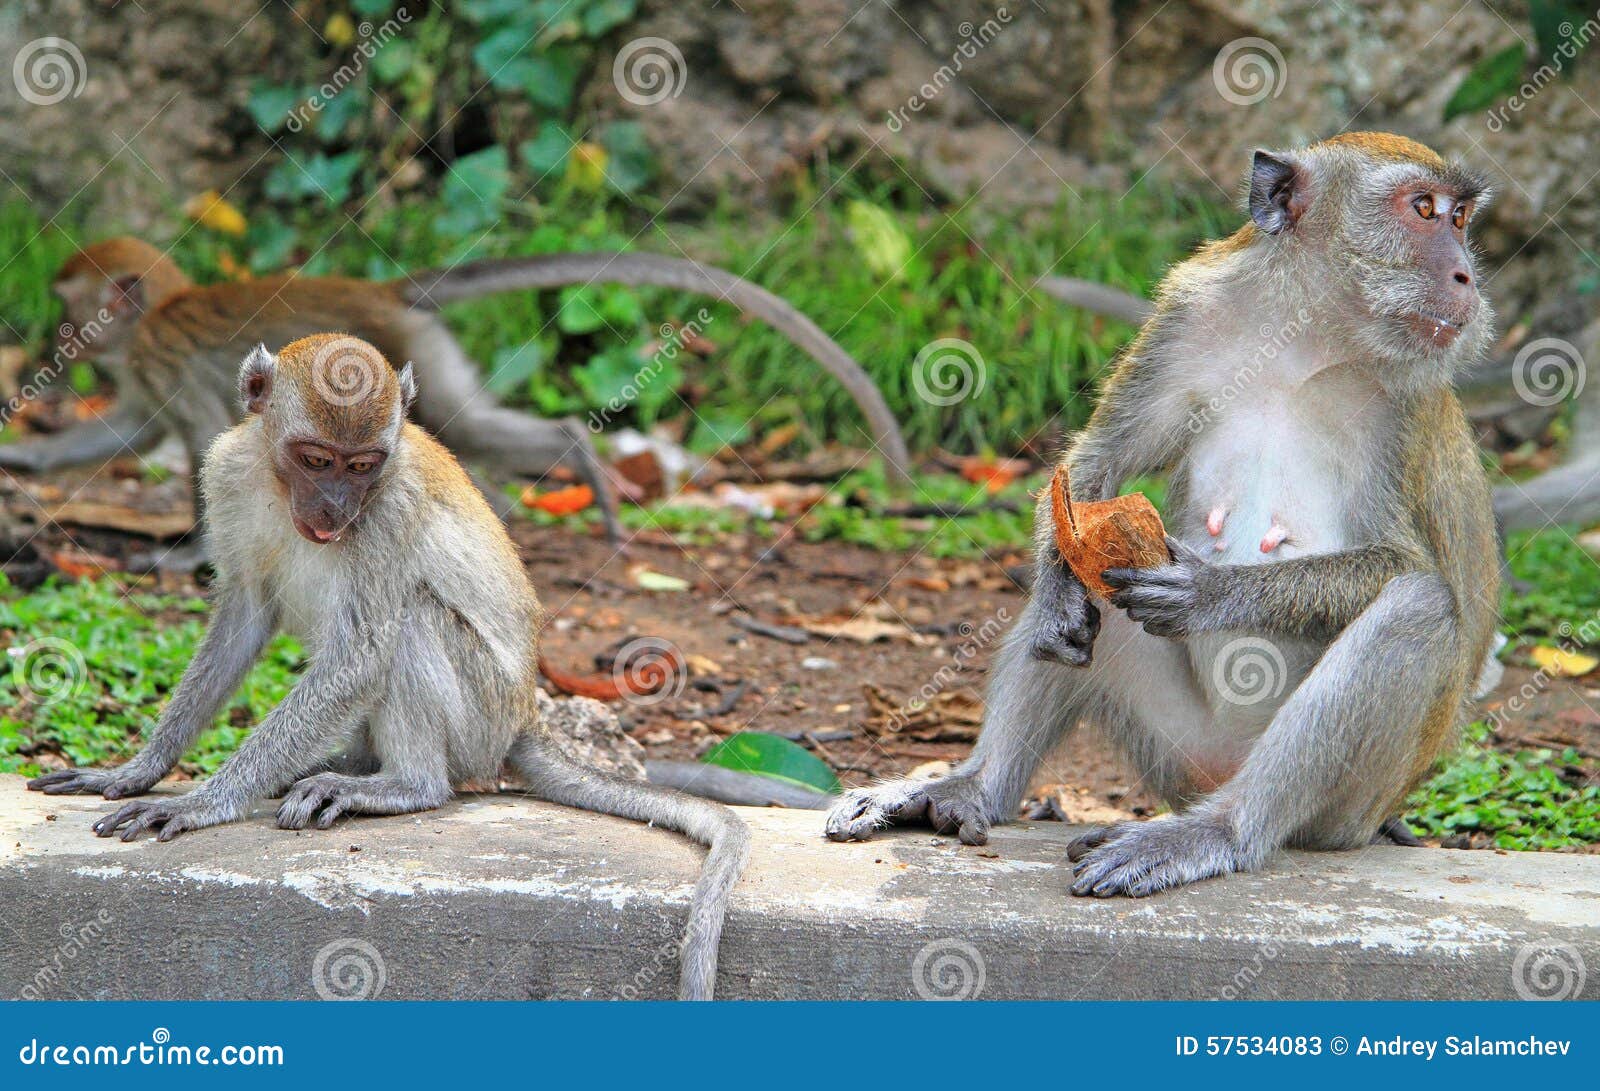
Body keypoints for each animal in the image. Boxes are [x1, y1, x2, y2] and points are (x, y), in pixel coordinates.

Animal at [3, 238, 912, 569]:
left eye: (68, 312)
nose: (56, 345)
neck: (154, 313)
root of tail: (381, 292)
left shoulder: (164, 361)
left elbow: (197, 443)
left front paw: (188, 555)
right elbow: (124, 430)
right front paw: (21, 452)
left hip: (402, 366)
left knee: (460, 426)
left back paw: (580, 466)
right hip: (424, 353)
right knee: (470, 426)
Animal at [28, 334, 749, 1000]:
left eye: (363, 465)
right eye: (316, 459)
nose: (336, 507)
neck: (277, 484)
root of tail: (523, 713)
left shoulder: (388, 507)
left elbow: (362, 656)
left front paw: (204, 800)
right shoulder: (226, 471)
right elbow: (243, 619)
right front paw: (140, 769)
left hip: (480, 712)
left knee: (410, 619)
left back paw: (404, 783)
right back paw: (352, 763)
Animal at [825, 133, 1501, 897]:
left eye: (1460, 217)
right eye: (1425, 210)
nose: (1465, 276)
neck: (1308, 336)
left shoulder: (1407, 402)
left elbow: (1401, 562)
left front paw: (1214, 593)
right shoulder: (1188, 318)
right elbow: (1091, 473)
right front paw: (1060, 593)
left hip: (1351, 802)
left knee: (1417, 605)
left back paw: (1218, 830)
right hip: (1177, 747)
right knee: (1088, 587)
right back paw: (973, 784)